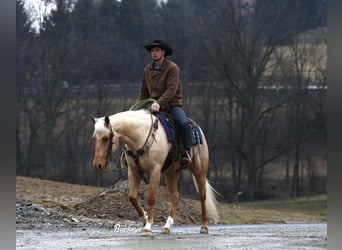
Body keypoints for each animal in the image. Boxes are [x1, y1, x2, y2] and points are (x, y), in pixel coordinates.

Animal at [91, 109, 219, 234]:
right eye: (94, 138)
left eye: (106, 138)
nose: (98, 164)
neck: (141, 137)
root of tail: (197, 128)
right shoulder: (133, 171)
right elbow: (132, 197)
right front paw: (144, 218)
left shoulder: (155, 171)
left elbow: (151, 198)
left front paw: (147, 227)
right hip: (171, 173)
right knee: (175, 196)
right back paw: (167, 227)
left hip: (199, 171)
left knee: (202, 195)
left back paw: (204, 226)